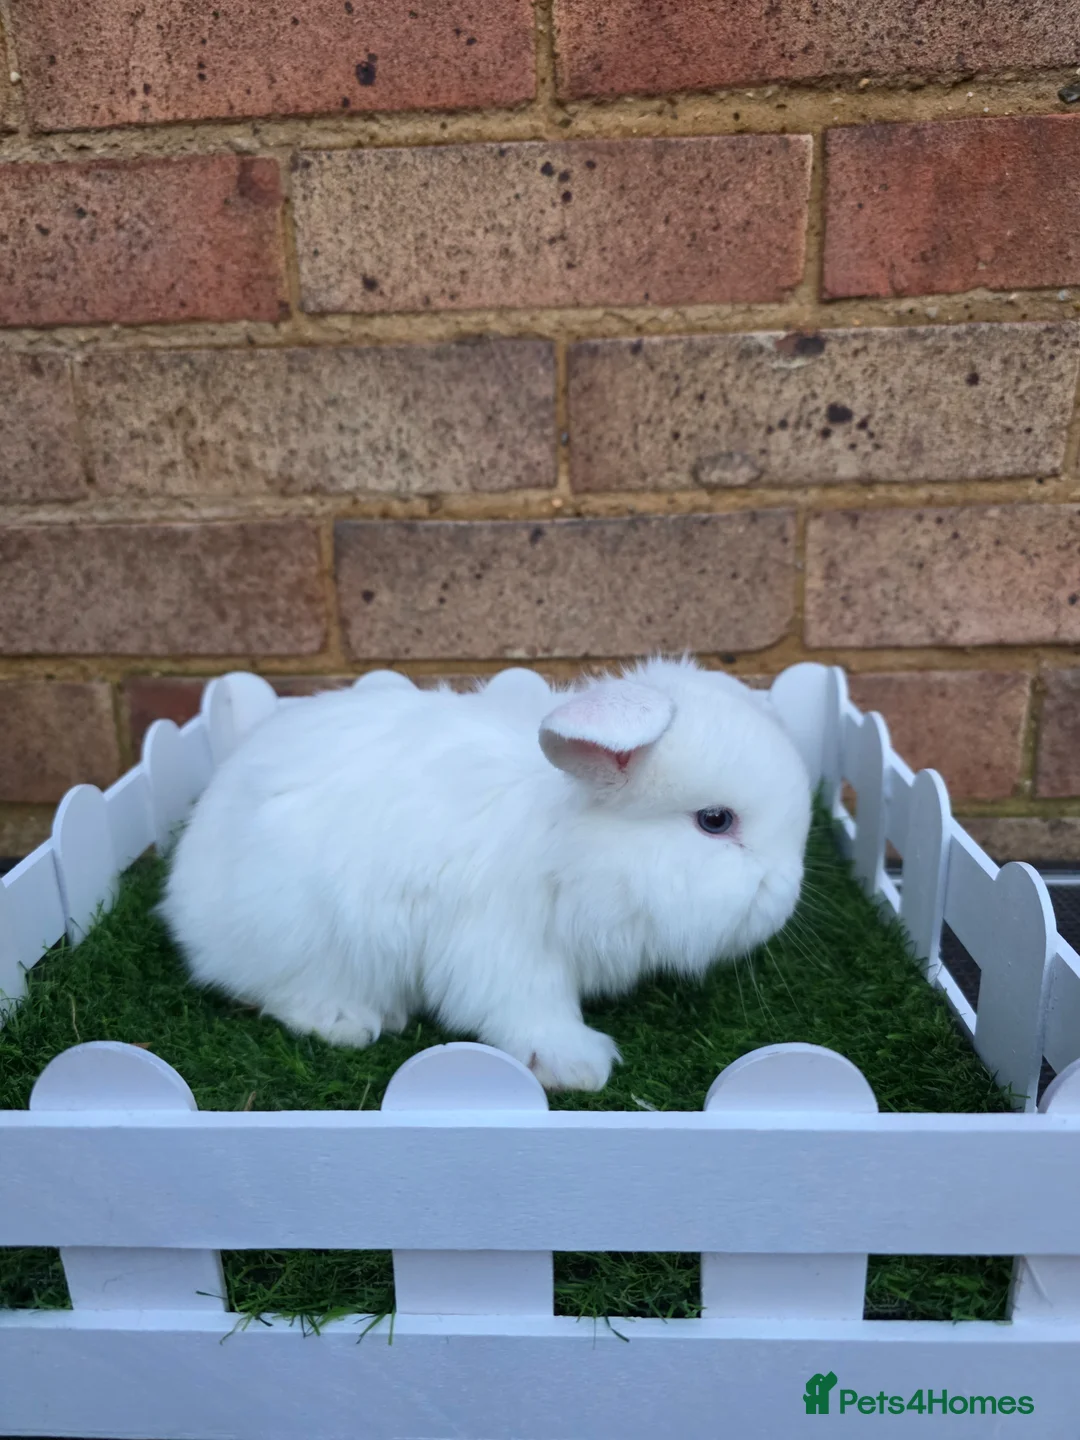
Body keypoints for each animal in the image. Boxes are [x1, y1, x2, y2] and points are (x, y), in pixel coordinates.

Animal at [160, 657, 812, 1091]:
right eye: (715, 821)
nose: (786, 896)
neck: (572, 846)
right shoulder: (503, 947)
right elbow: (528, 1009)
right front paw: (578, 1065)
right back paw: (352, 1021)